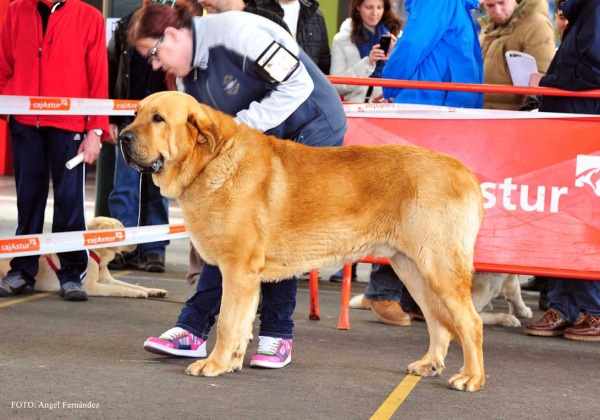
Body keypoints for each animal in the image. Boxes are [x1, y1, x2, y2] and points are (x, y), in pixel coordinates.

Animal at [119, 90, 486, 392]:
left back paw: (471, 377)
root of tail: (465, 173)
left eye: (158, 119)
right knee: (439, 323)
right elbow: (242, 324)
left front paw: (213, 364)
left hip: (438, 266)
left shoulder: (237, 270)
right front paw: (232, 362)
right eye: (135, 113)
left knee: (469, 322)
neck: (209, 161)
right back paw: (429, 364)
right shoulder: (247, 277)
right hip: (411, 268)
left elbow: (226, 322)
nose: (122, 136)